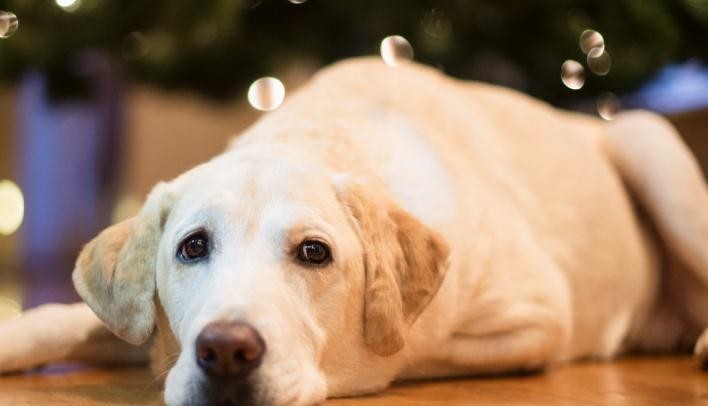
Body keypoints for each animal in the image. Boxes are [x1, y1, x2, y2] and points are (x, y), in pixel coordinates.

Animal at [1, 58, 708, 406]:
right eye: (192, 246)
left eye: (315, 253)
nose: (225, 351)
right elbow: (67, 320)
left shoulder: (535, 319)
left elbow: (407, 351)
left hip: (651, 146)